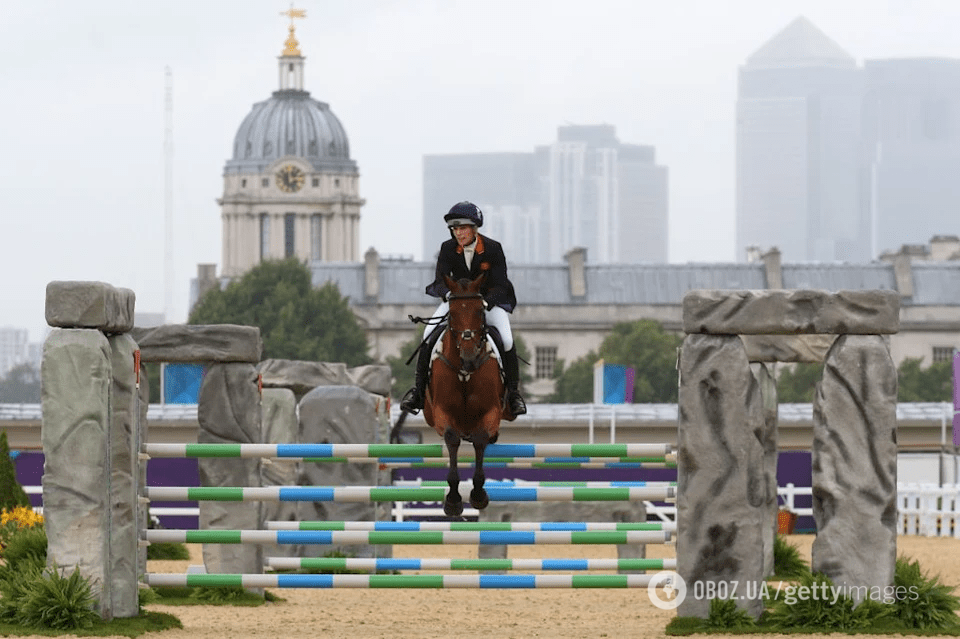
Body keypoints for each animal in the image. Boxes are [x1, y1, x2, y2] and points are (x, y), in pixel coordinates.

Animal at [424, 272, 506, 516]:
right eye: (452, 313)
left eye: (480, 310)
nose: (469, 355)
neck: (464, 373)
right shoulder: (441, 413)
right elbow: (452, 439)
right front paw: (453, 500)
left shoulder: (492, 411)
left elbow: (480, 439)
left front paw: (478, 494)